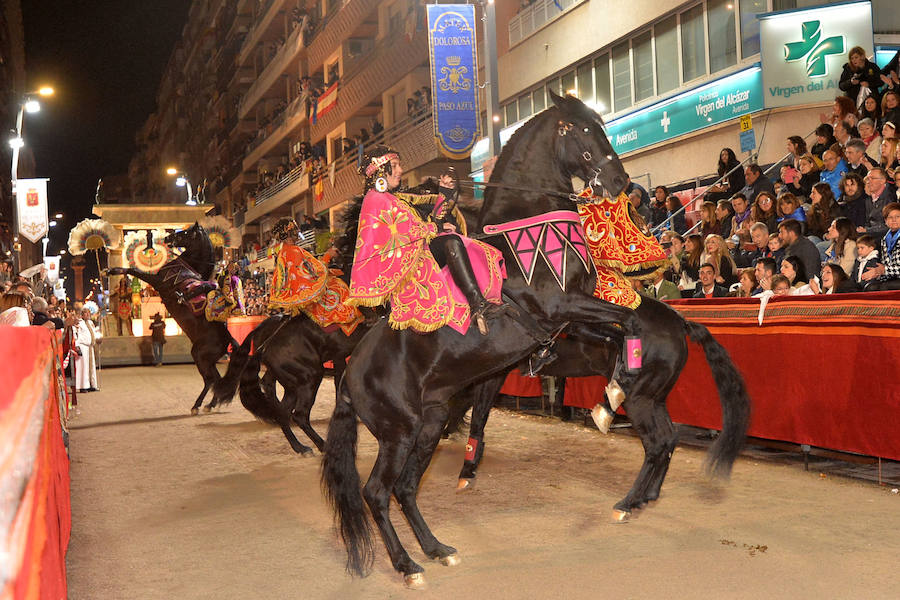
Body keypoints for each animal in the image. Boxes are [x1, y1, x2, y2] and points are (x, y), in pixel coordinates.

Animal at [107, 223, 236, 414]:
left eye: (186, 232)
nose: (168, 238)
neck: (187, 267)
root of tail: (227, 338)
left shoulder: (157, 281)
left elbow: (134, 270)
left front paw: (113, 270)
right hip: (209, 360)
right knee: (216, 380)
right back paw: (209, 404)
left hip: (200, 355)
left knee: (210, 380)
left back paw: (197, 406)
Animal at [324, 94, 716, 584]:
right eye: (579, 129)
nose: (619, 182)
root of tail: (350, 374)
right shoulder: (560, 306)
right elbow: (628, 320)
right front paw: (610, 396)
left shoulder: (568, 317)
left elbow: (622, 326)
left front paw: (611, 392)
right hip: (398, 431)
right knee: (377, 492)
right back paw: (408, 565)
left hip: (428, 422)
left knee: (406, 488)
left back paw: (437, 549)